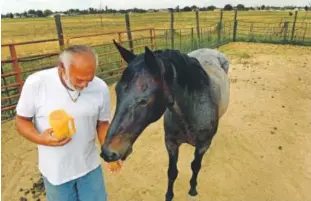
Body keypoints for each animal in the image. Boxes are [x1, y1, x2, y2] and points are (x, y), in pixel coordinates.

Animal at [101, 39, 230, 201]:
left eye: (144, 100)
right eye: (117, 91)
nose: (108, 152)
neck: (192, 110)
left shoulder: (202, 145)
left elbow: (195, 166)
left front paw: (193, 189)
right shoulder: (171, 143)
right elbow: (172, 171)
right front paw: (169, 195)